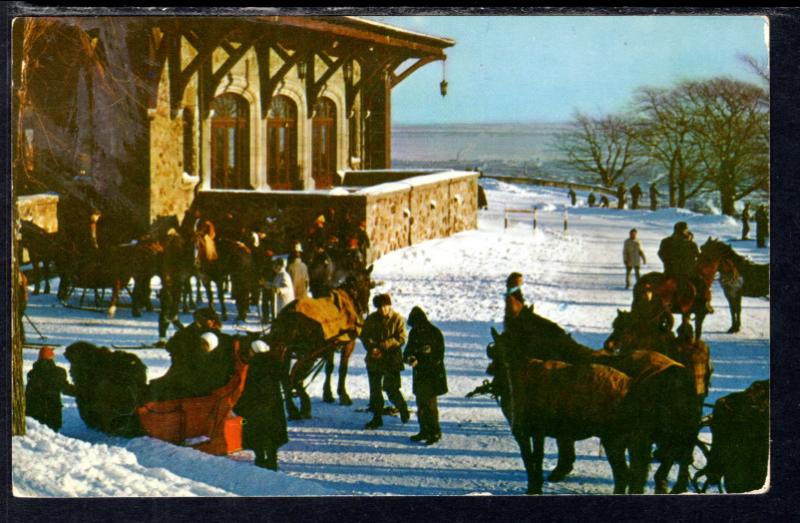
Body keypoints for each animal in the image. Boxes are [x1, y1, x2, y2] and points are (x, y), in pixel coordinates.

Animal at [264, 266, 374, 422]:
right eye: (368, 284)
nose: (364, 309)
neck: (349, 299)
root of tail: (287, 317)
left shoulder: (330, 346)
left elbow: (329, 368)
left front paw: (328, 394)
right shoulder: (348, 343)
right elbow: (343, 369)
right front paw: (343, 394)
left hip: (285, 351)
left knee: (285, 377)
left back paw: (293, 409)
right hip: (307, 353)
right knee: (295, 377)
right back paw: (304, 406)